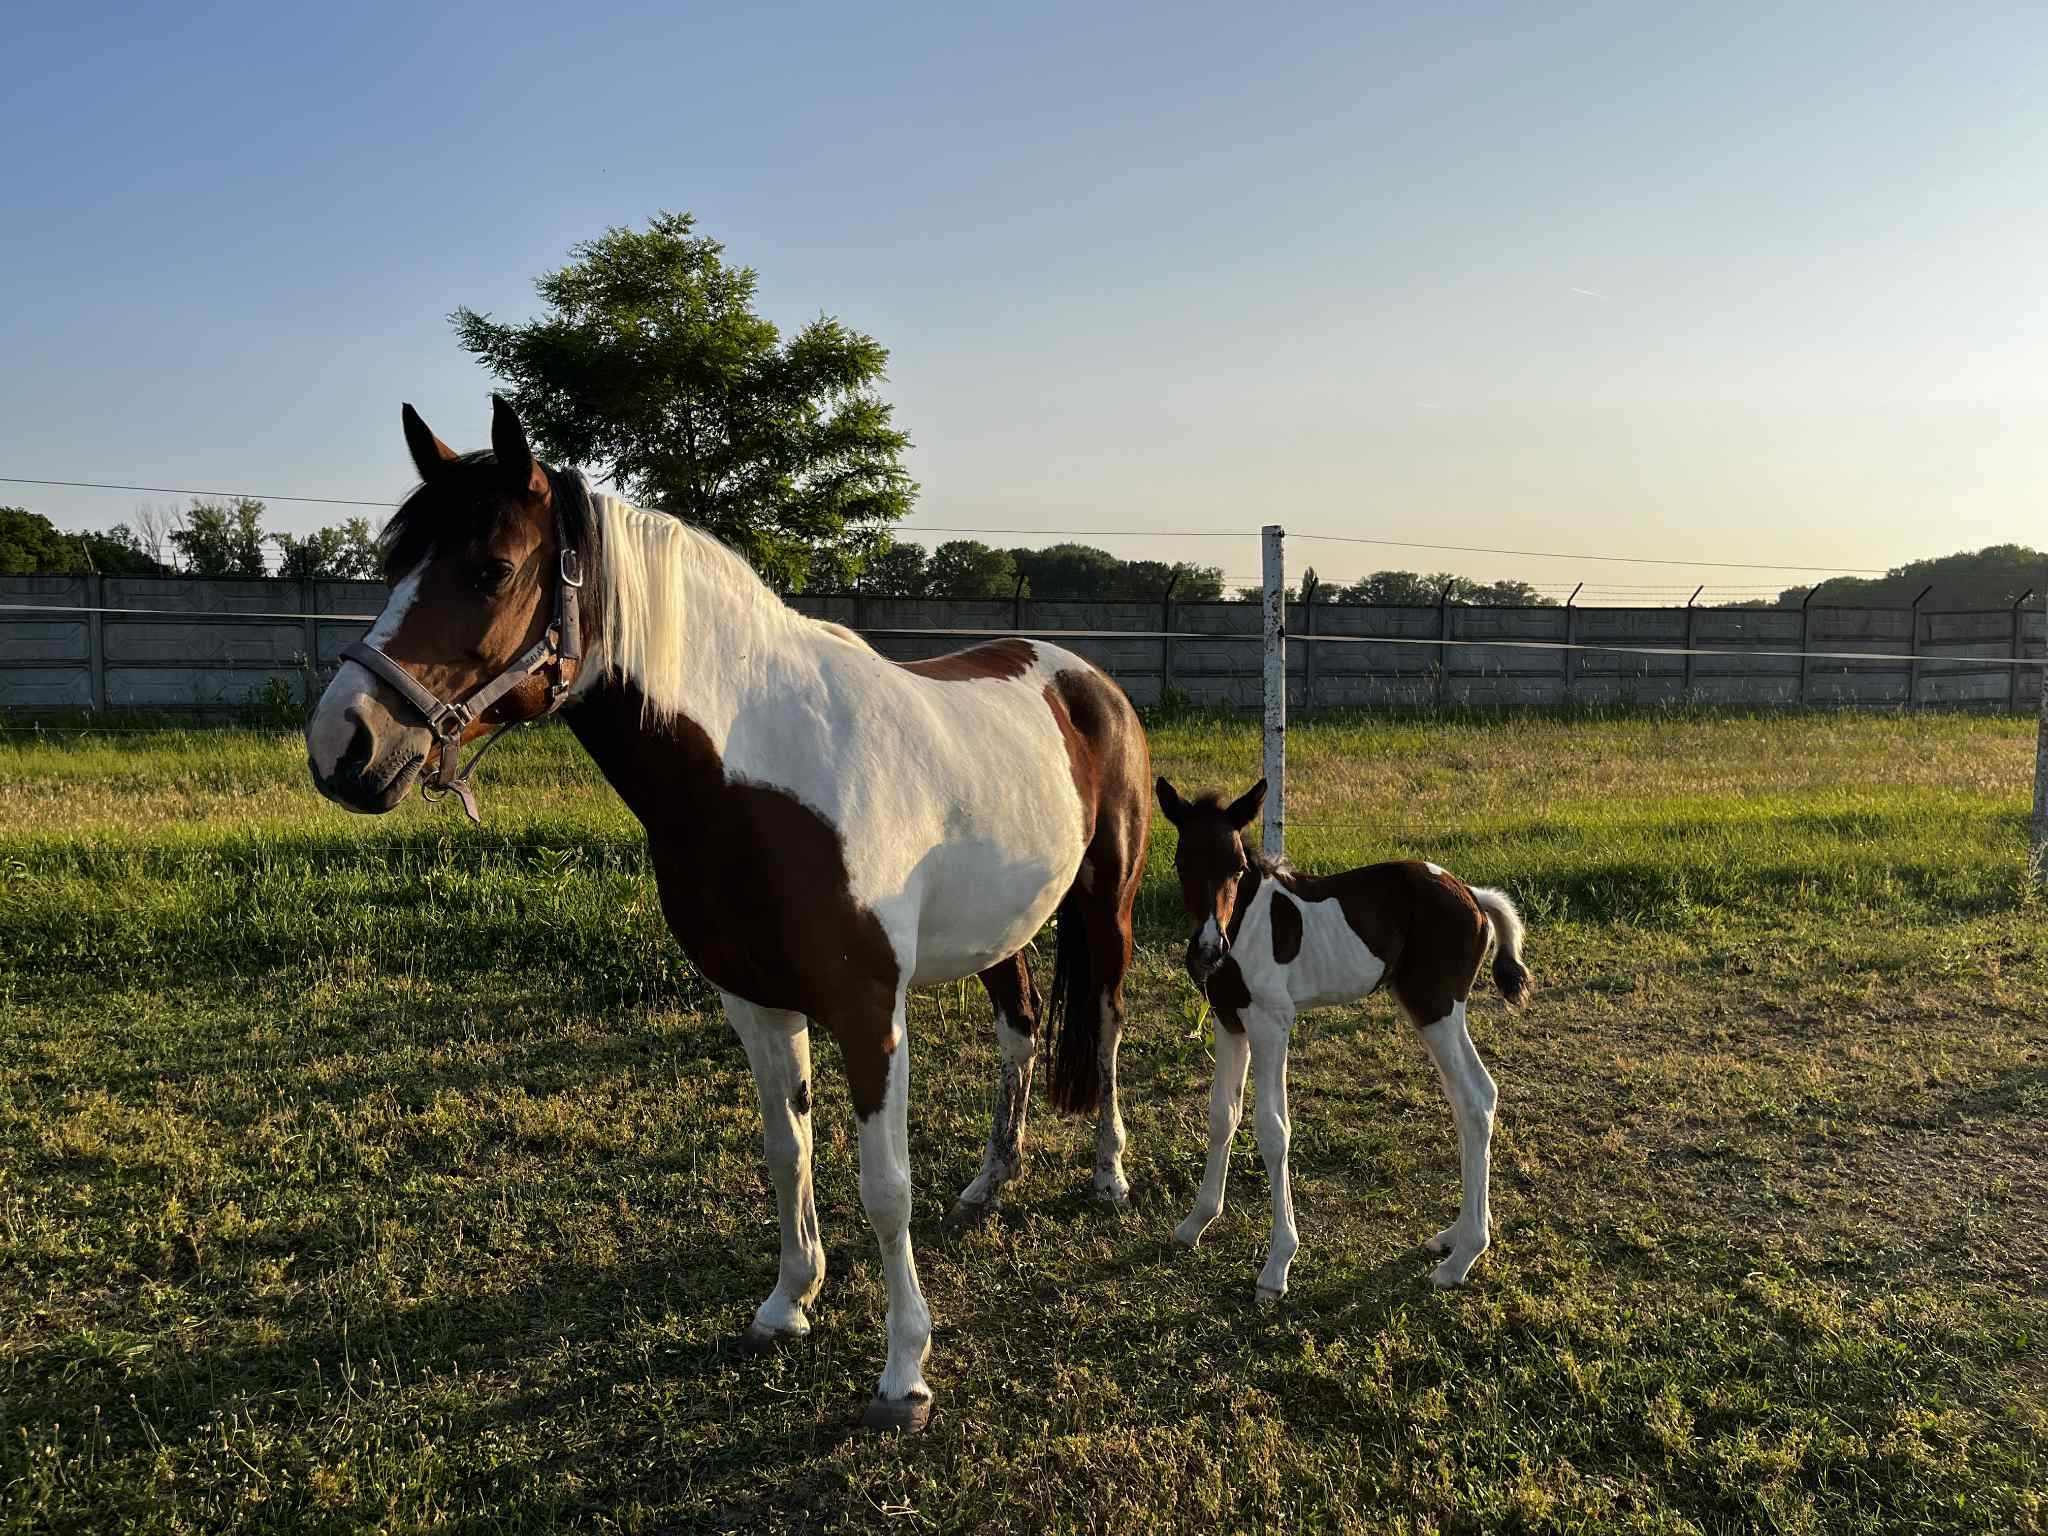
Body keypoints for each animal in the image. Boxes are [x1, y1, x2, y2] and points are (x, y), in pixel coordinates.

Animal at [305, 398, 1151, 1430]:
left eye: (492, 568)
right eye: (394, 565)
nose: (343, 745)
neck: (760, 771)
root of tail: (1086, 678)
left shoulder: (869, 1009)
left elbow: (884, 1187)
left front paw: (904, 1373)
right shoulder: (754, 1002)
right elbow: (787, 1154)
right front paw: (788, 1304)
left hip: (1106, 904)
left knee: (1104, 1025)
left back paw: (1108, 1176)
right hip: (1008, 927)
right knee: (1022, 1029)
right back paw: (992, 1179)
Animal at [1153, 776, 1529, 1300]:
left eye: (1237, 867)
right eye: (1181, 862)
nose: (1207, 950)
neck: (1245, 925)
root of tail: (1472, 895)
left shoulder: (1271, 1022)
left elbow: (1273, 1129)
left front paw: (1277, 1265)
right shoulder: (1229, 1023)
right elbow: (1221, 1114)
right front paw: (1196, 1223)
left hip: (1435, 1006)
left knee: (1475, 1098)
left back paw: (1461, 1259)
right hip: (1431, 1008)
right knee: (1471, 1098)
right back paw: (1455, 1236)